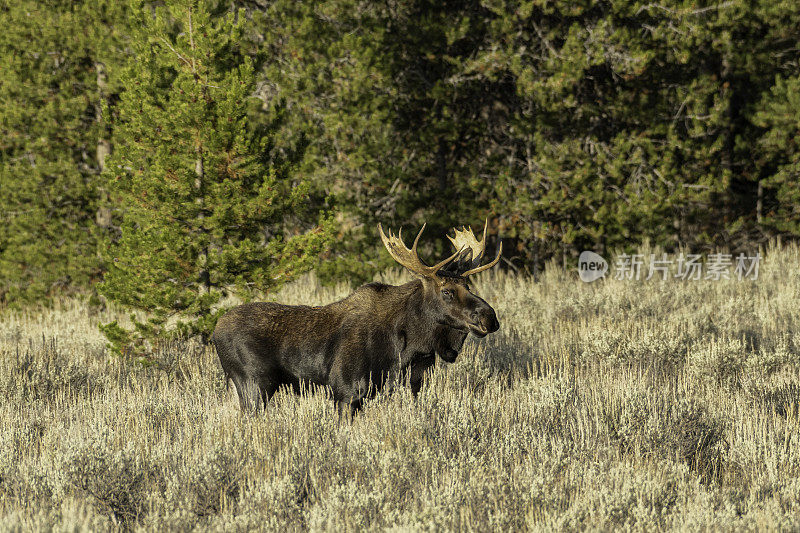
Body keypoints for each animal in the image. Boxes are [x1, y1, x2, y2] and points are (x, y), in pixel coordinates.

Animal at [212, 220, 500, 416]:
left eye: (469, 286)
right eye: (447, 291)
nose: (490, 318)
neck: (410, 348)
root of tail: (214, 333)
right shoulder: (346, 391)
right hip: (252, 384)